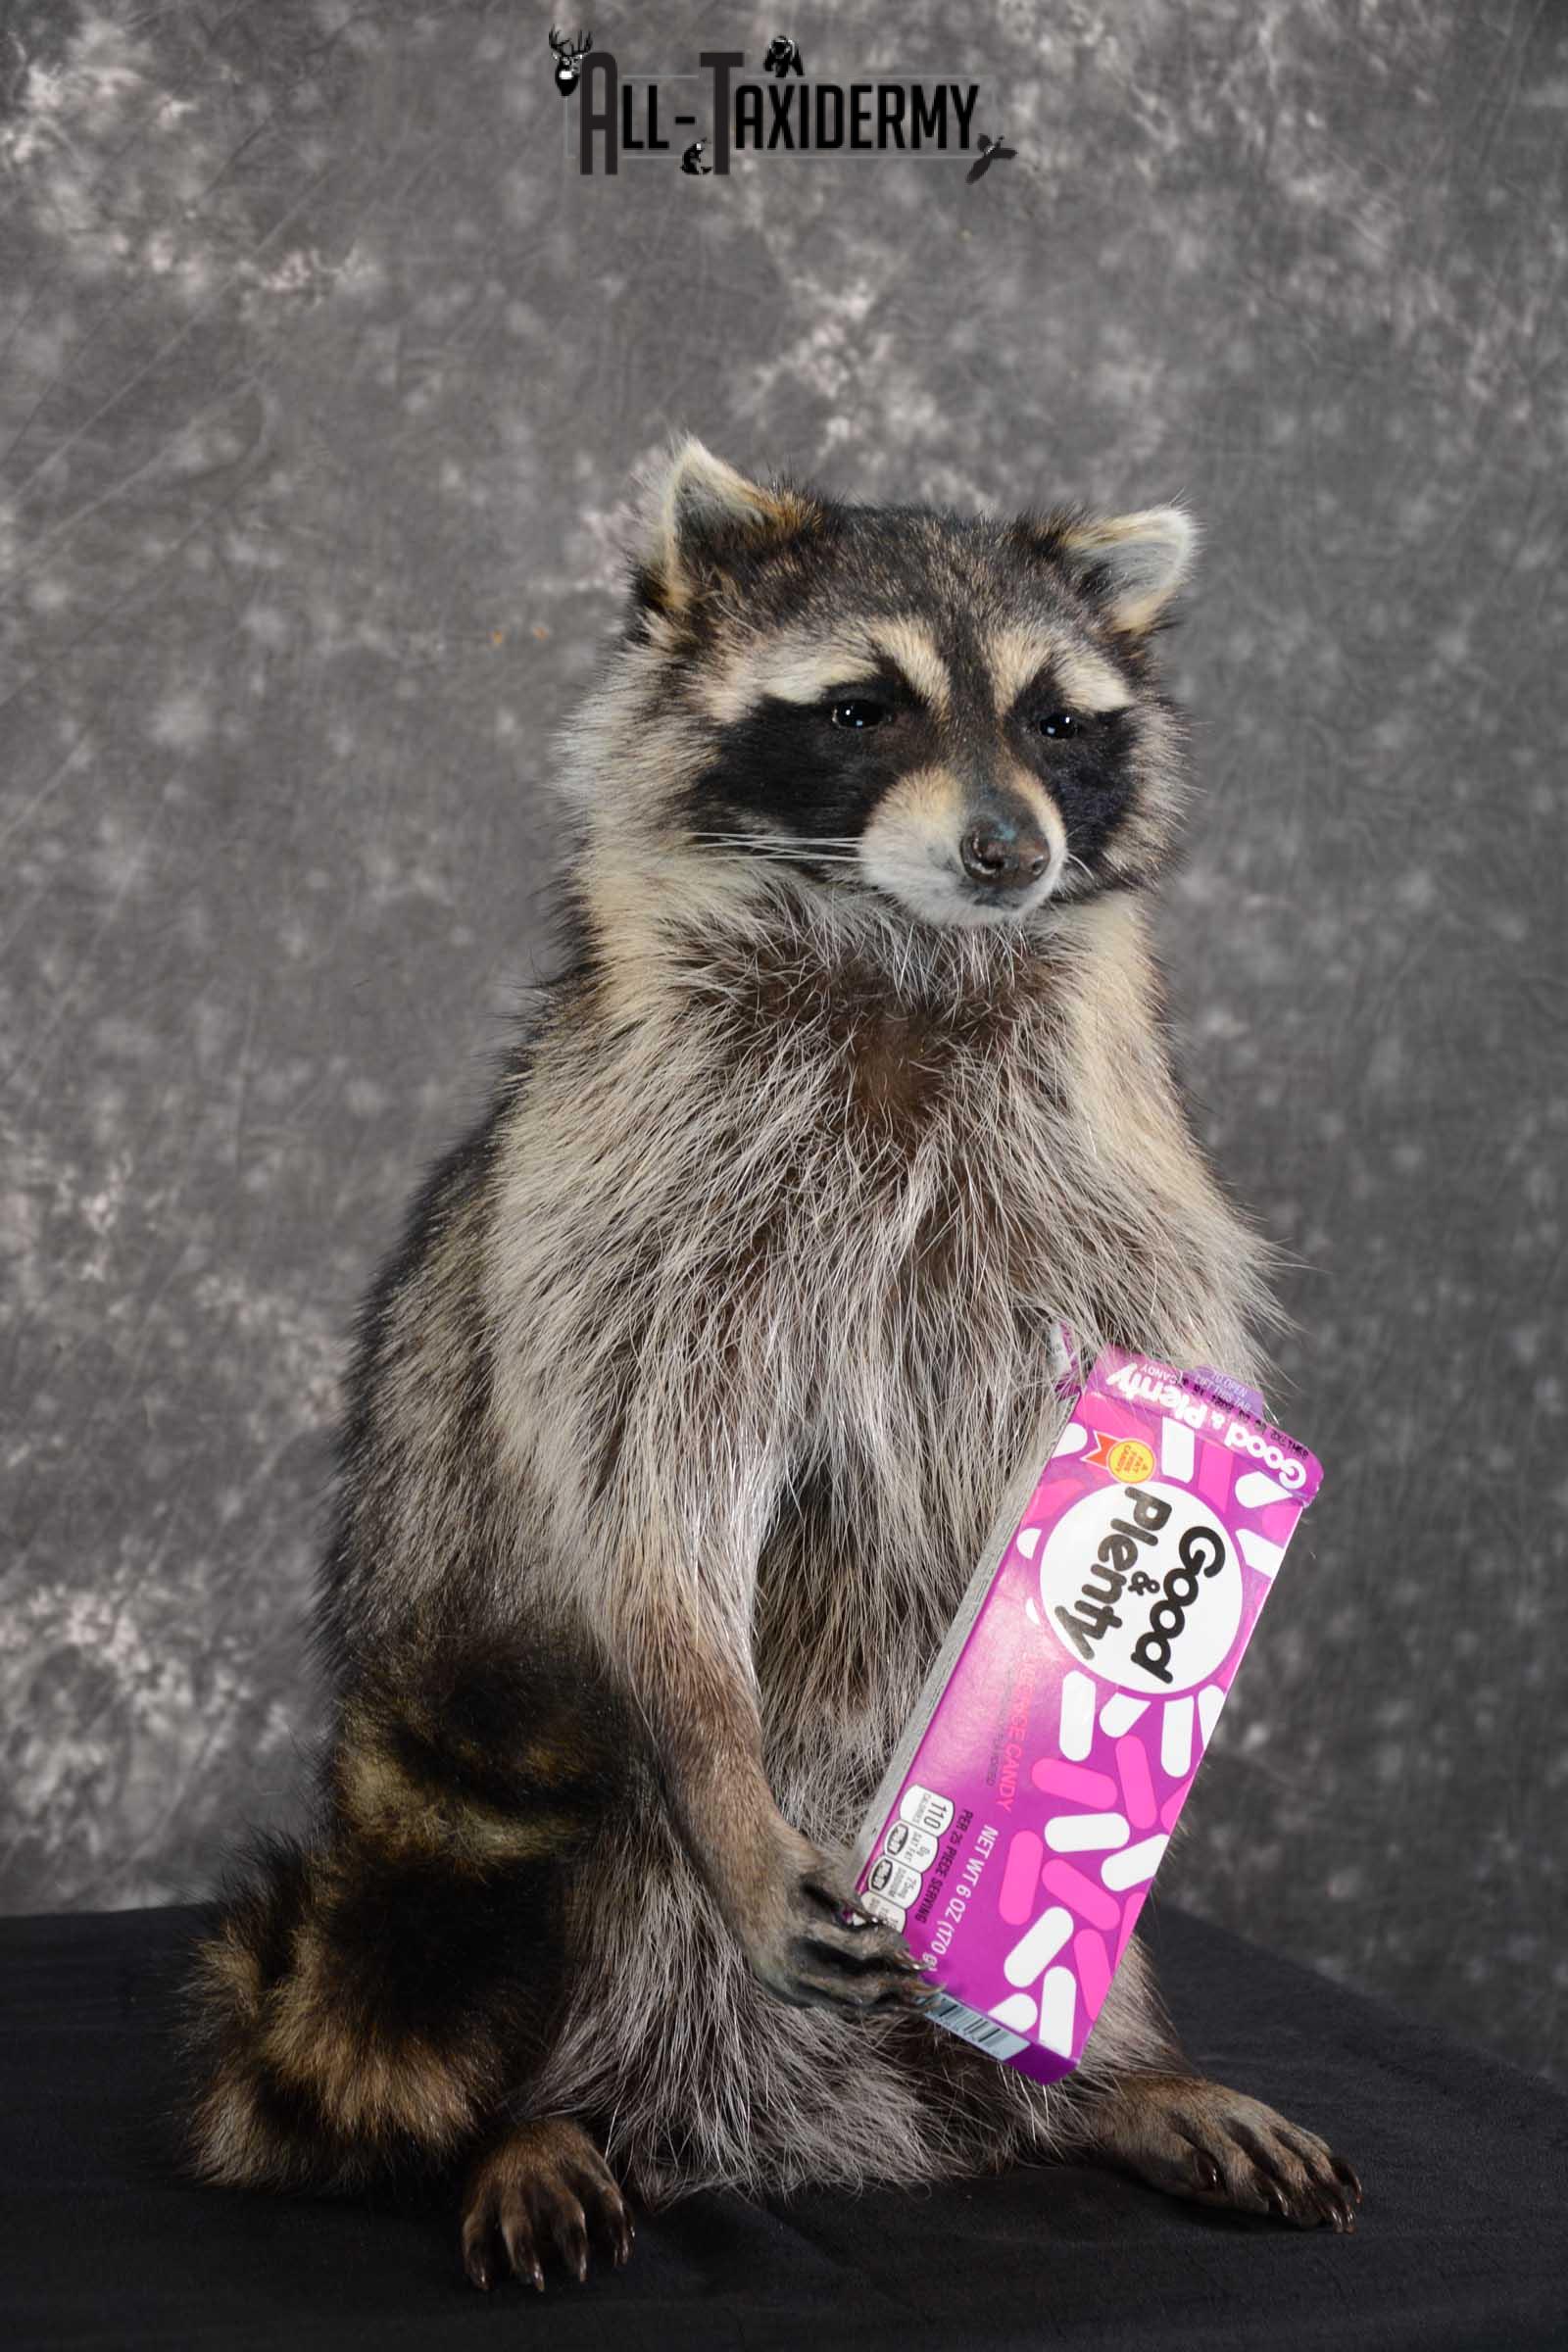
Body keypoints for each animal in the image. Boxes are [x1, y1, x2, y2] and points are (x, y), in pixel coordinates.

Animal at [182, 440, 1362, 2288]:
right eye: (865, 708)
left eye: (1058, 721)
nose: (1010, 847)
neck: (899, 945)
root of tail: (781, 2124)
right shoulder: (645, 1176)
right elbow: (647, 1477)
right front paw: (711, 1714)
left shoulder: (1097, 1168)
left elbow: (1082, 1392)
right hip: (513, 1828)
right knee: (496, 1930)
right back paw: (530, 2119)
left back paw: (1103, 2074)